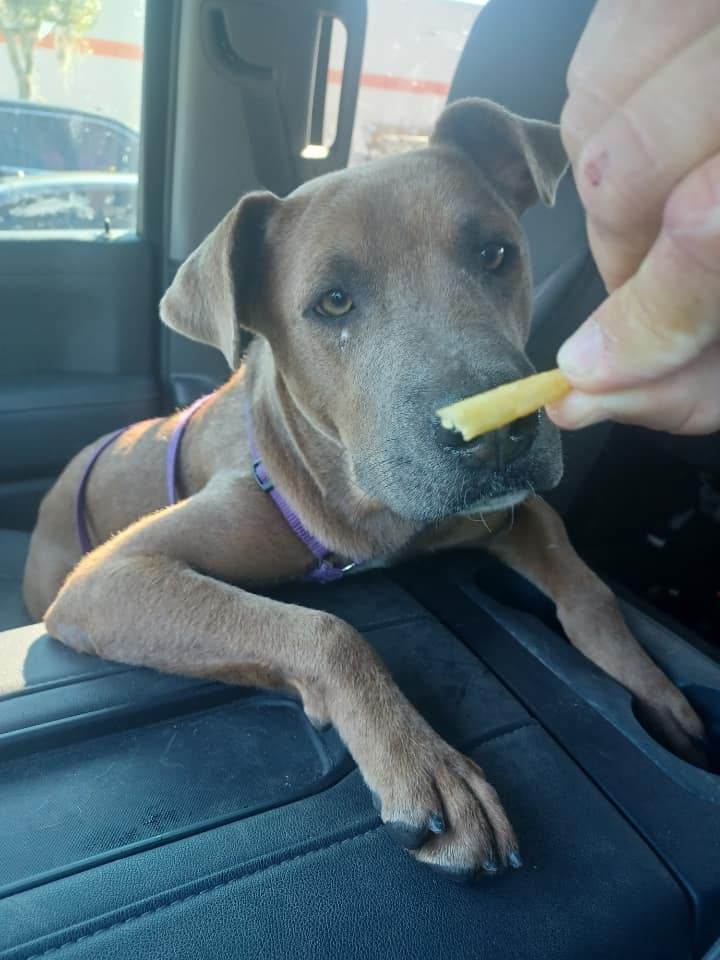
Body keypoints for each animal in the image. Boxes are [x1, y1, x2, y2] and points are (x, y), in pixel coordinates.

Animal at [21, 101, 704, 880]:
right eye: (334, 302)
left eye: (495, 254)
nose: (500, 433)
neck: (355, 494)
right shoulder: (110, 577)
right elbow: (327, 629)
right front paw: (424, 762)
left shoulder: (512, 512)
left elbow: (588, 592)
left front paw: (653, 692)